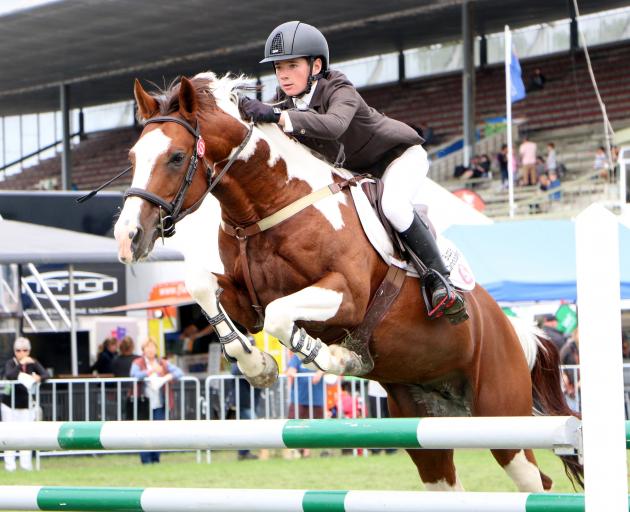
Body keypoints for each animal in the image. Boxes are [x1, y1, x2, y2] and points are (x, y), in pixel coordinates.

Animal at [112, 73, 584, 492]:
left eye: (176, 157)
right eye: (132, 158)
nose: (128, 238)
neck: (271, 204)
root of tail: (515, 330)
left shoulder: (347, 296)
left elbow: (284, 318)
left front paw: (342, 359)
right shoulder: (248, 301)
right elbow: (202, 287)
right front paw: (257, 366)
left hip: (501, 414)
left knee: (535, 480)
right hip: (421, 422)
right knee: (445, 479)